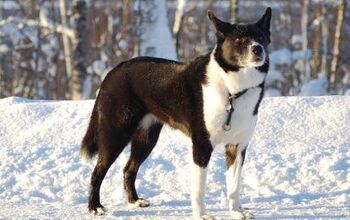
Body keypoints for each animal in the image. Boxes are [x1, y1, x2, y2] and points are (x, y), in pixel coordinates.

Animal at [81, 7, 270, 219]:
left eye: (261, 38)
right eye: (239, 40)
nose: (257, 49)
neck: (232, 90)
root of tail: (113, 71)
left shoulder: (237, 147)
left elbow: (234, 185)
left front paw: (237, 212)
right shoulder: (202, 146)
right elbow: (199, 188)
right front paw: (201, 215)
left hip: (146, 138)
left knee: (128, 169)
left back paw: (134, 201)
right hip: (116, 134)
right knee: (97, 172)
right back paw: (95, 207)